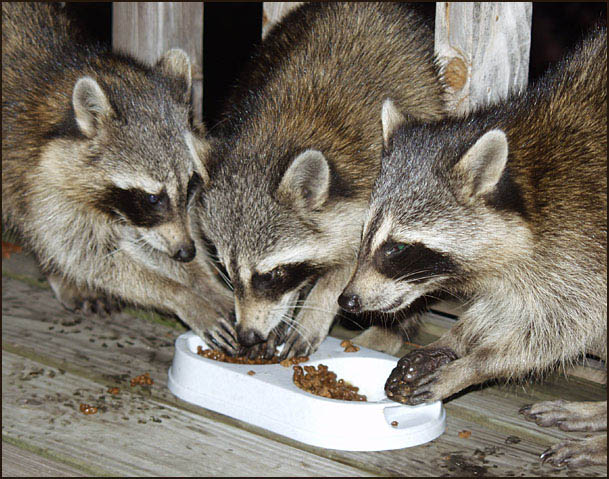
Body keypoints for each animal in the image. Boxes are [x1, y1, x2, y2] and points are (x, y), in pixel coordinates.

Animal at [1, 1, 235, 346]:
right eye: (152, 198)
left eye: (191, 183)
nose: (186, 252)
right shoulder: (40, 178)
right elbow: (89, 256)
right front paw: (181, 295)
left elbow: (149, 240)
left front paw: (206, 283)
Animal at [196, 1, 446, 358]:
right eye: (229, 271)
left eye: (272, 274)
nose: (247, 334)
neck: (279, 138)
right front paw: (287, 311)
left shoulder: (376, 187)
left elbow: (352, 265)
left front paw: (317, 306)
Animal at [340, 27, 604, 468]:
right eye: (364, 235)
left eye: (396, 249)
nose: (348, 301)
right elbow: (508, 306)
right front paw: (457, 338)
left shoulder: (585, 244)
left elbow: (563, 329)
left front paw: (478, 363)